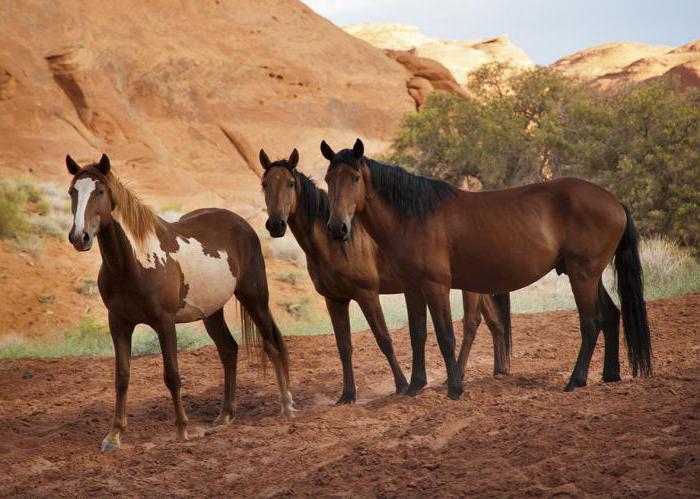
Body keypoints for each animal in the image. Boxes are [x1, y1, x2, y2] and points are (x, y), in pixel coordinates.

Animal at [66, 153, 296, 454]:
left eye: (100, 191)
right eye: (72, 192)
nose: (79, 237)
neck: (134, 262)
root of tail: (242, 224)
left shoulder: (164, 323)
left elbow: (172, 375)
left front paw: (181, 430)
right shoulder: (118, 323)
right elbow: (122, 377)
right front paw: (114, 436)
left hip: (254, 298)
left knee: (271, 344)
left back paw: (287, 406)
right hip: (212, 311)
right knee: (228, 350)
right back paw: (225, 415)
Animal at [260, 147, 512, 402]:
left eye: (291, 183)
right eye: (265, 184)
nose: (276, 225)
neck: (337, 244)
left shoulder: (367, 295)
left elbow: (384, 339)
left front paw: (401, 385)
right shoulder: (335, 300)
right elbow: (344, 347)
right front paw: (347, 395)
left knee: (471, 323)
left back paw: (459, 376)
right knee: (494, 321)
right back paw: (499, 370)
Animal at [322, 139, 652, 400]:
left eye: (354, 178)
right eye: (328, 179)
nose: (337, 228)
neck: (415, 216)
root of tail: (615, 202)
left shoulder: (436, 285)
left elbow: (445, 335)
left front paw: (455, 388)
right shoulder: (412, 287)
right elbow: (418, 334)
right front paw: (415, 387)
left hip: (582, 275)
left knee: (590, 322)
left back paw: (575, 380)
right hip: (588, 274)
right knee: (610, 315)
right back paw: (610, 375)